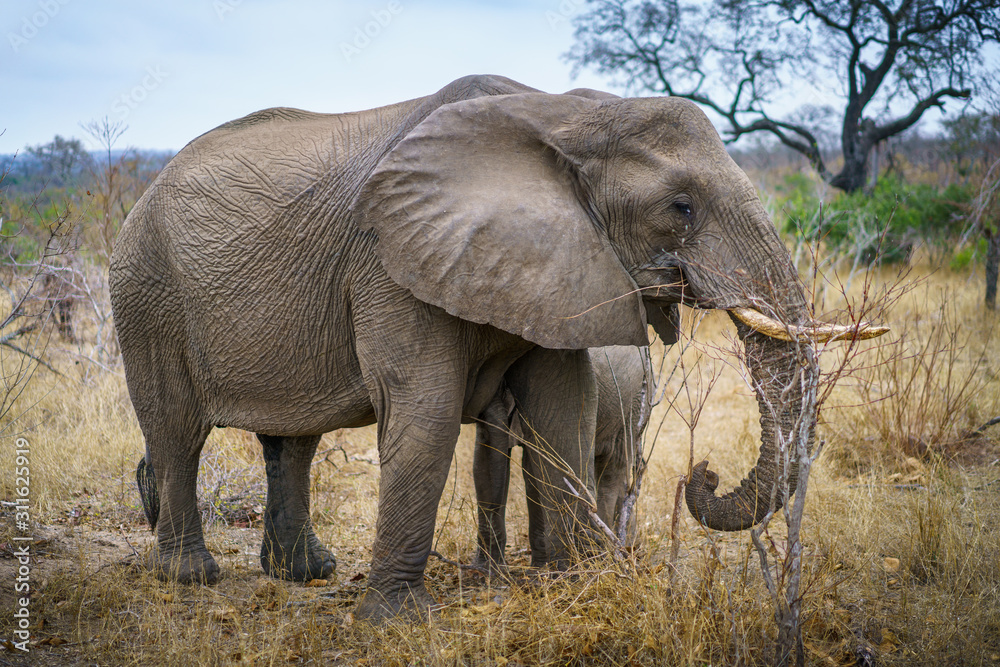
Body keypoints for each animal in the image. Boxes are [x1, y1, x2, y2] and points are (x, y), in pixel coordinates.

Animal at [473, 345, 652, 572]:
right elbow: (484, 459)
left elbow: (534, 471)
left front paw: (540, 570)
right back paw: (621, 546)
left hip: (633, 403)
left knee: (612, 467)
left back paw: (607, 550)